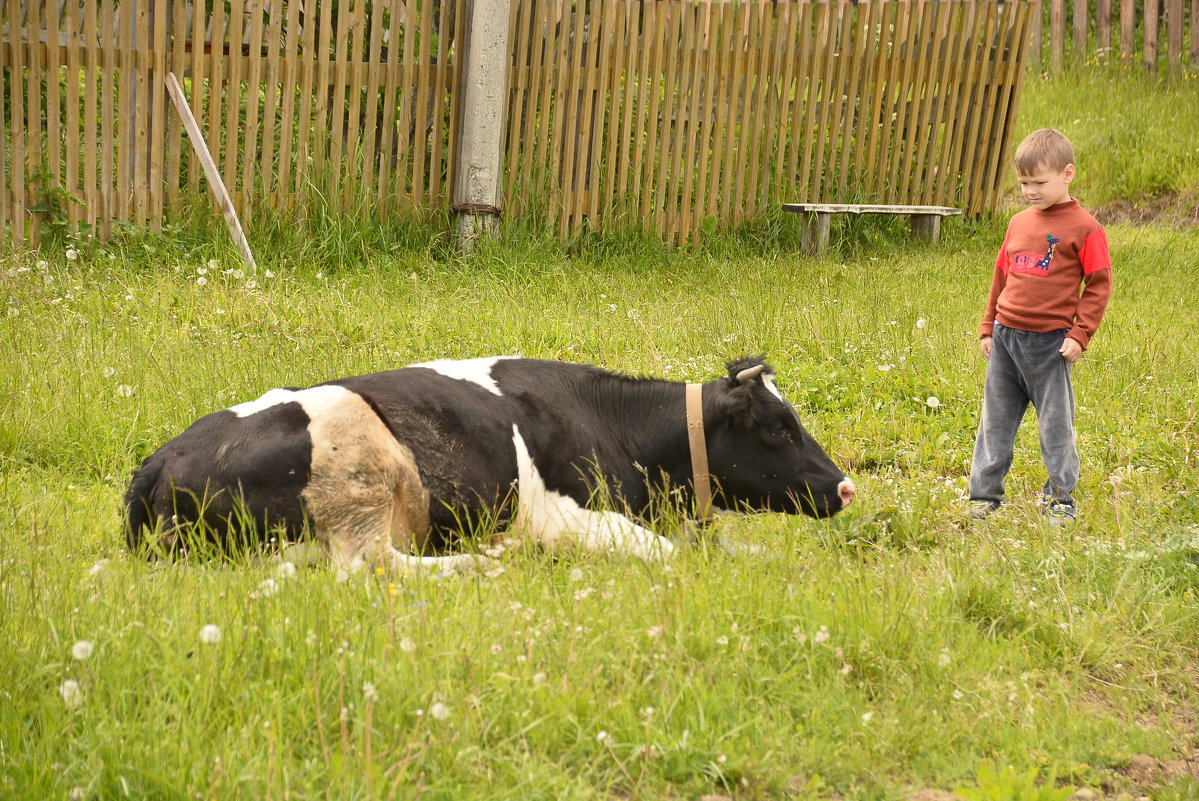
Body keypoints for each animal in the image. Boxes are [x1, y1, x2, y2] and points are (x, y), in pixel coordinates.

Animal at [124, 354, 853, 568]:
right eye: (779, 426)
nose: (845, 488)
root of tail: (157, 459)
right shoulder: (570, 514)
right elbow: (671, 556)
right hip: (359, 485)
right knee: (375, 570)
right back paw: (488, 561)